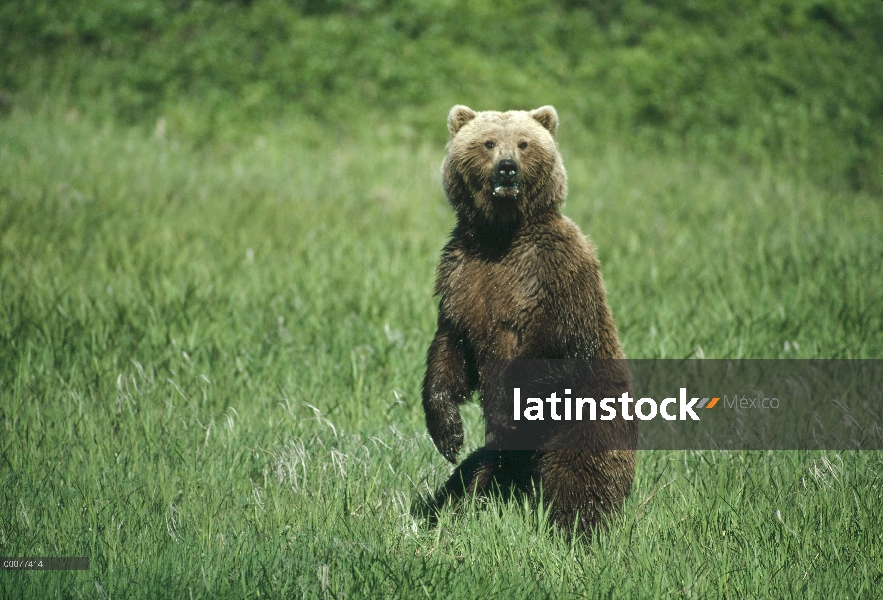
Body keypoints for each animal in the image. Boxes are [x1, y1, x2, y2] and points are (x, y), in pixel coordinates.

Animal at [424, 104, 640, 540]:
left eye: (523, 143)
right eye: (488, 142)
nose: (507, 169)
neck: (502, 234)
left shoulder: (555, 275)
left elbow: (554, 352)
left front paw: (504, 413)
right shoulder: (461, 278)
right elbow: (451, 350)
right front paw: (448, 433)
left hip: (586, 419)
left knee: (580, 476)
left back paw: (574, 528)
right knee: (471, 478)